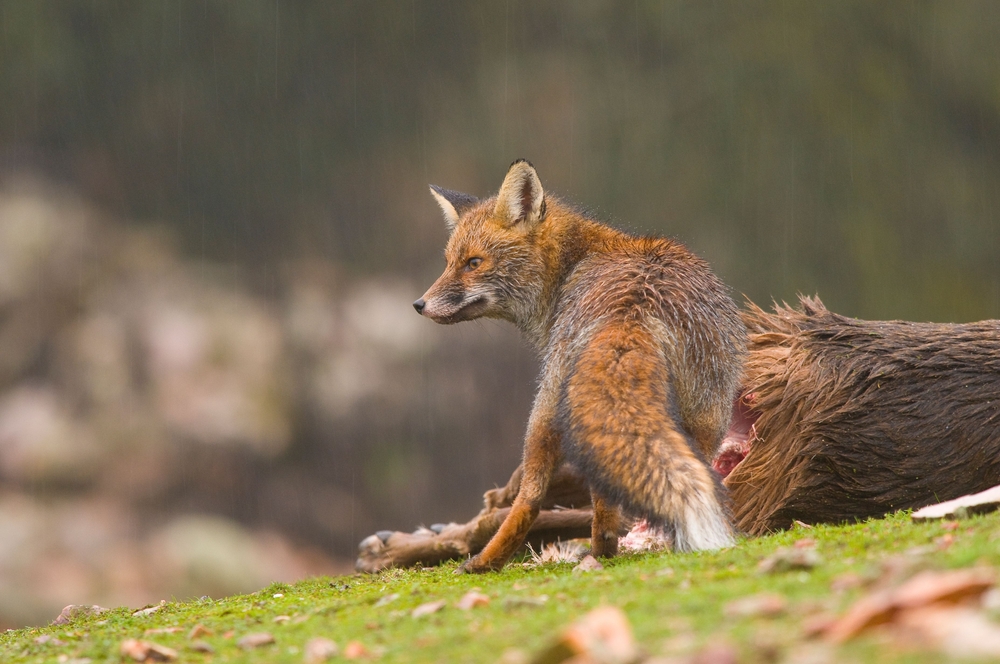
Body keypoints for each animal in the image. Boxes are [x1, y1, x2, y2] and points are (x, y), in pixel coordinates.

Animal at [413, 160, 747, 572]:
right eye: (448, 263)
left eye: (473, 263)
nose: (419, 304)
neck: (571, 265)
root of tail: (636, 305)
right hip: (708, 416)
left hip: (548, 407)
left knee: (534, 495)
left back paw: (496, 559)